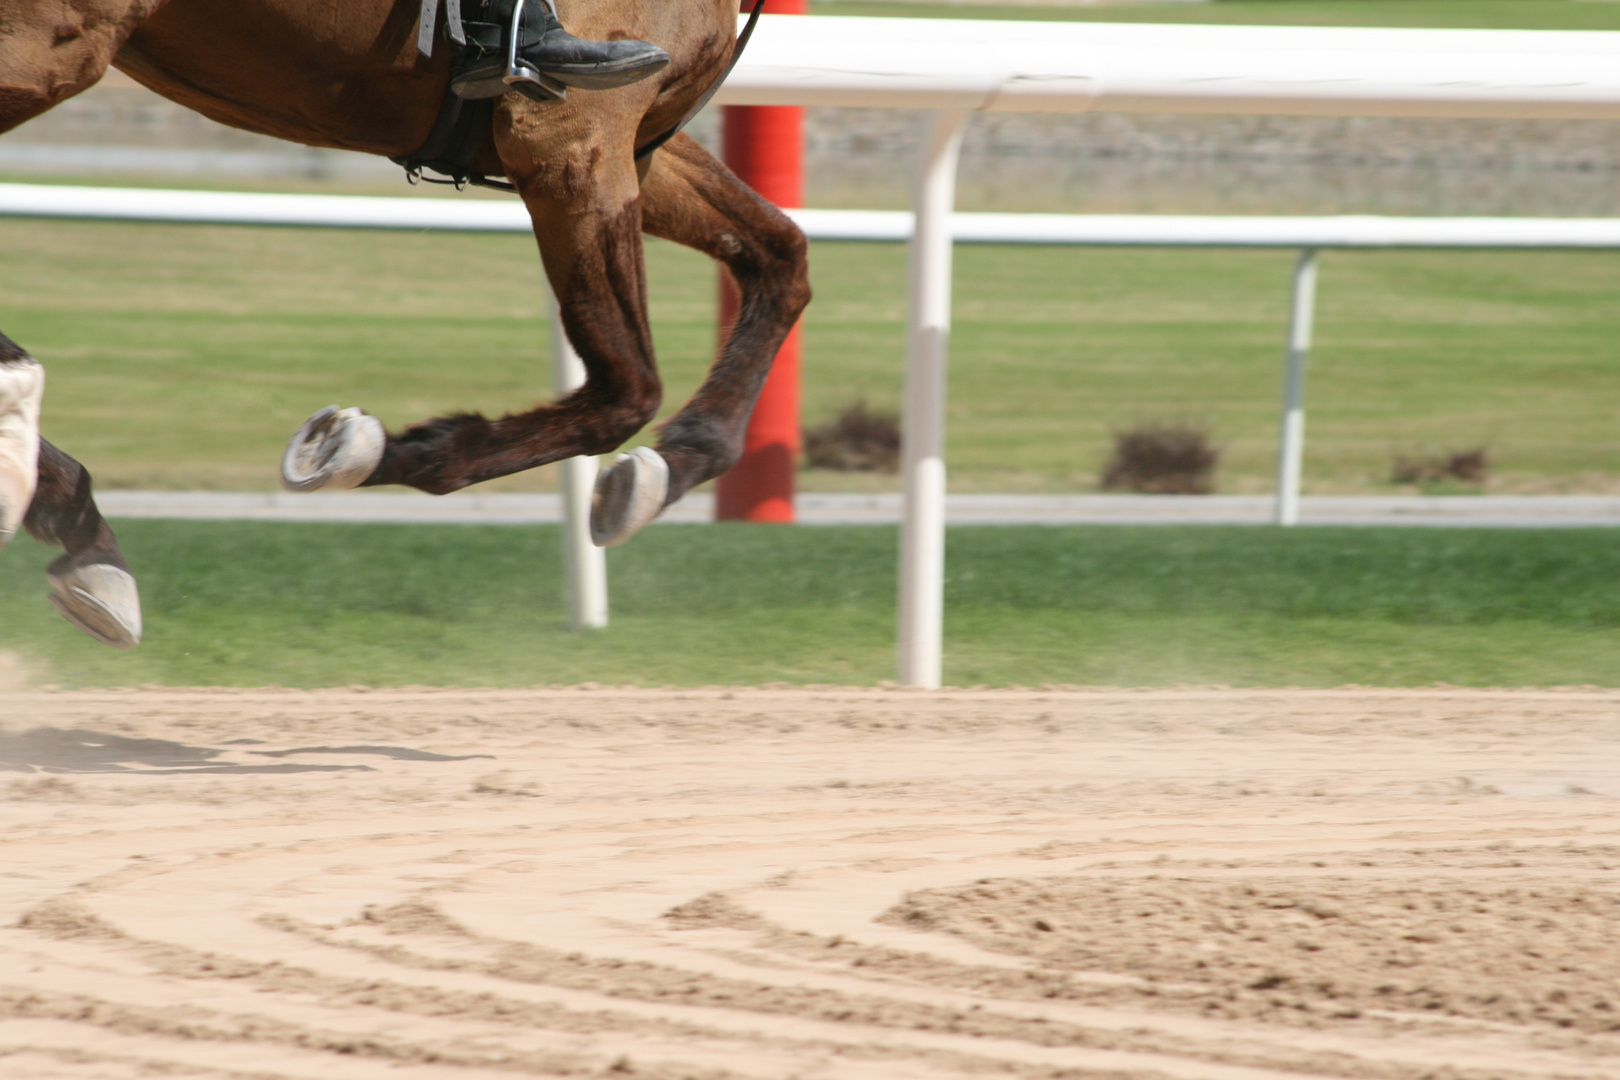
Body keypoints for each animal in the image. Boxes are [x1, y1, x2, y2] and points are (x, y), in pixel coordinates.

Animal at [0, 0, 810, 647]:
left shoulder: (626, 139)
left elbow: (780, 258)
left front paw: (666, 470)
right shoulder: (570, 135)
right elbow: (626, 389)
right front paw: (362, 448)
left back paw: (74, 518)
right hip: (51, 46)